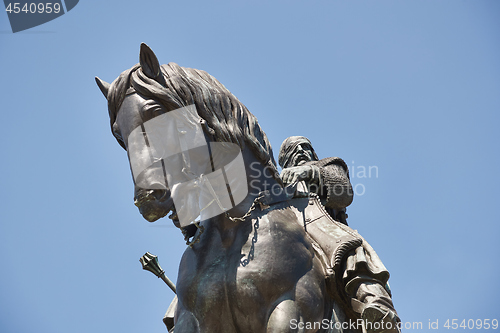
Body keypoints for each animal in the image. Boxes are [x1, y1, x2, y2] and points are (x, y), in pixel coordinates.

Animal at [95, 44, 400, 332]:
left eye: (156, 111)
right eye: (119, 134)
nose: (147, 197)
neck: (234, 224)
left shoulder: (290, 309)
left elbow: (341, 189)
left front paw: (301, 172)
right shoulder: (194, 321)